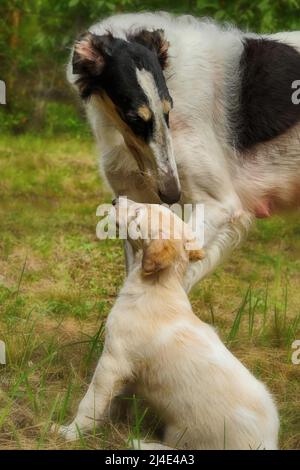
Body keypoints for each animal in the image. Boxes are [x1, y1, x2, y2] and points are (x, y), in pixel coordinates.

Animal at [54, 197, 278, 448]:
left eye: (137, 214)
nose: (115, 200)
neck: (158, 286)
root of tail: (267, 442)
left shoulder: (112, 362)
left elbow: (90, 403)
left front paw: (70, 432)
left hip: (185, 434)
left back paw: (138, 442)